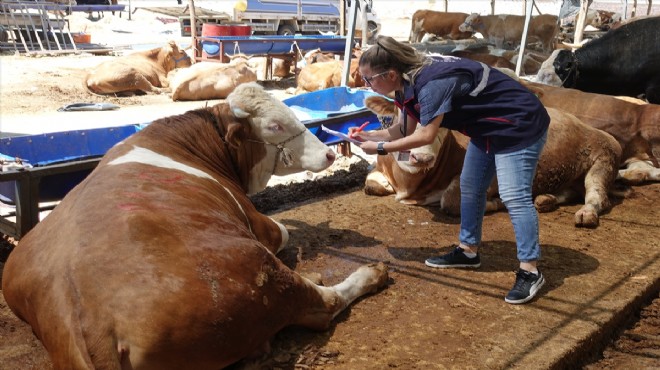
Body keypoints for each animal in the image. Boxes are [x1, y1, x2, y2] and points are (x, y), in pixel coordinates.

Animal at [2, 82, 390, 368]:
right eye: (274, 126)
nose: (328, 153)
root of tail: (87, 323)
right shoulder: (258, 223)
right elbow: (282, 230)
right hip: (258, 268)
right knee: (322, 305)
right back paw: (370, 274)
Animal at [364, 94, 620, 228]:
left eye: (445, 123)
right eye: (405, 119)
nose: (422, 157)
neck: (409, 186)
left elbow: (451, 202)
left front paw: (495, 202)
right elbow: (371, 184)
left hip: (603, 158)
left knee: (597, 196)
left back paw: (586, 214)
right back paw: (545, 199)